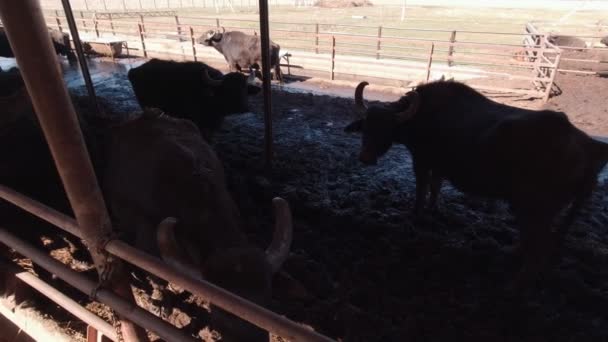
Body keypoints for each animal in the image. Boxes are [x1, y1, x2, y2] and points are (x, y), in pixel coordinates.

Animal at [127, 58, 260, 141]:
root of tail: (133, 70)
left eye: (244, 90)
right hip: (145, 105)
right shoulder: (198, 123)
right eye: (228, 90)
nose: (244, 108)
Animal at [344, 80, 608, 288]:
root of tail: (588, 148)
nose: (365, 158)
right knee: (536, 241)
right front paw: (433, 209)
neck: (423, 117)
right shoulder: (439, 165)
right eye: (366, 125)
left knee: (538, 247)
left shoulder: (422, 160)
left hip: (537, 209)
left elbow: (421, 188)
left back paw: (517, 283)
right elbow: (435, 188)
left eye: (387, 127)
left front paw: (416, 214)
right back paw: (511, 256)